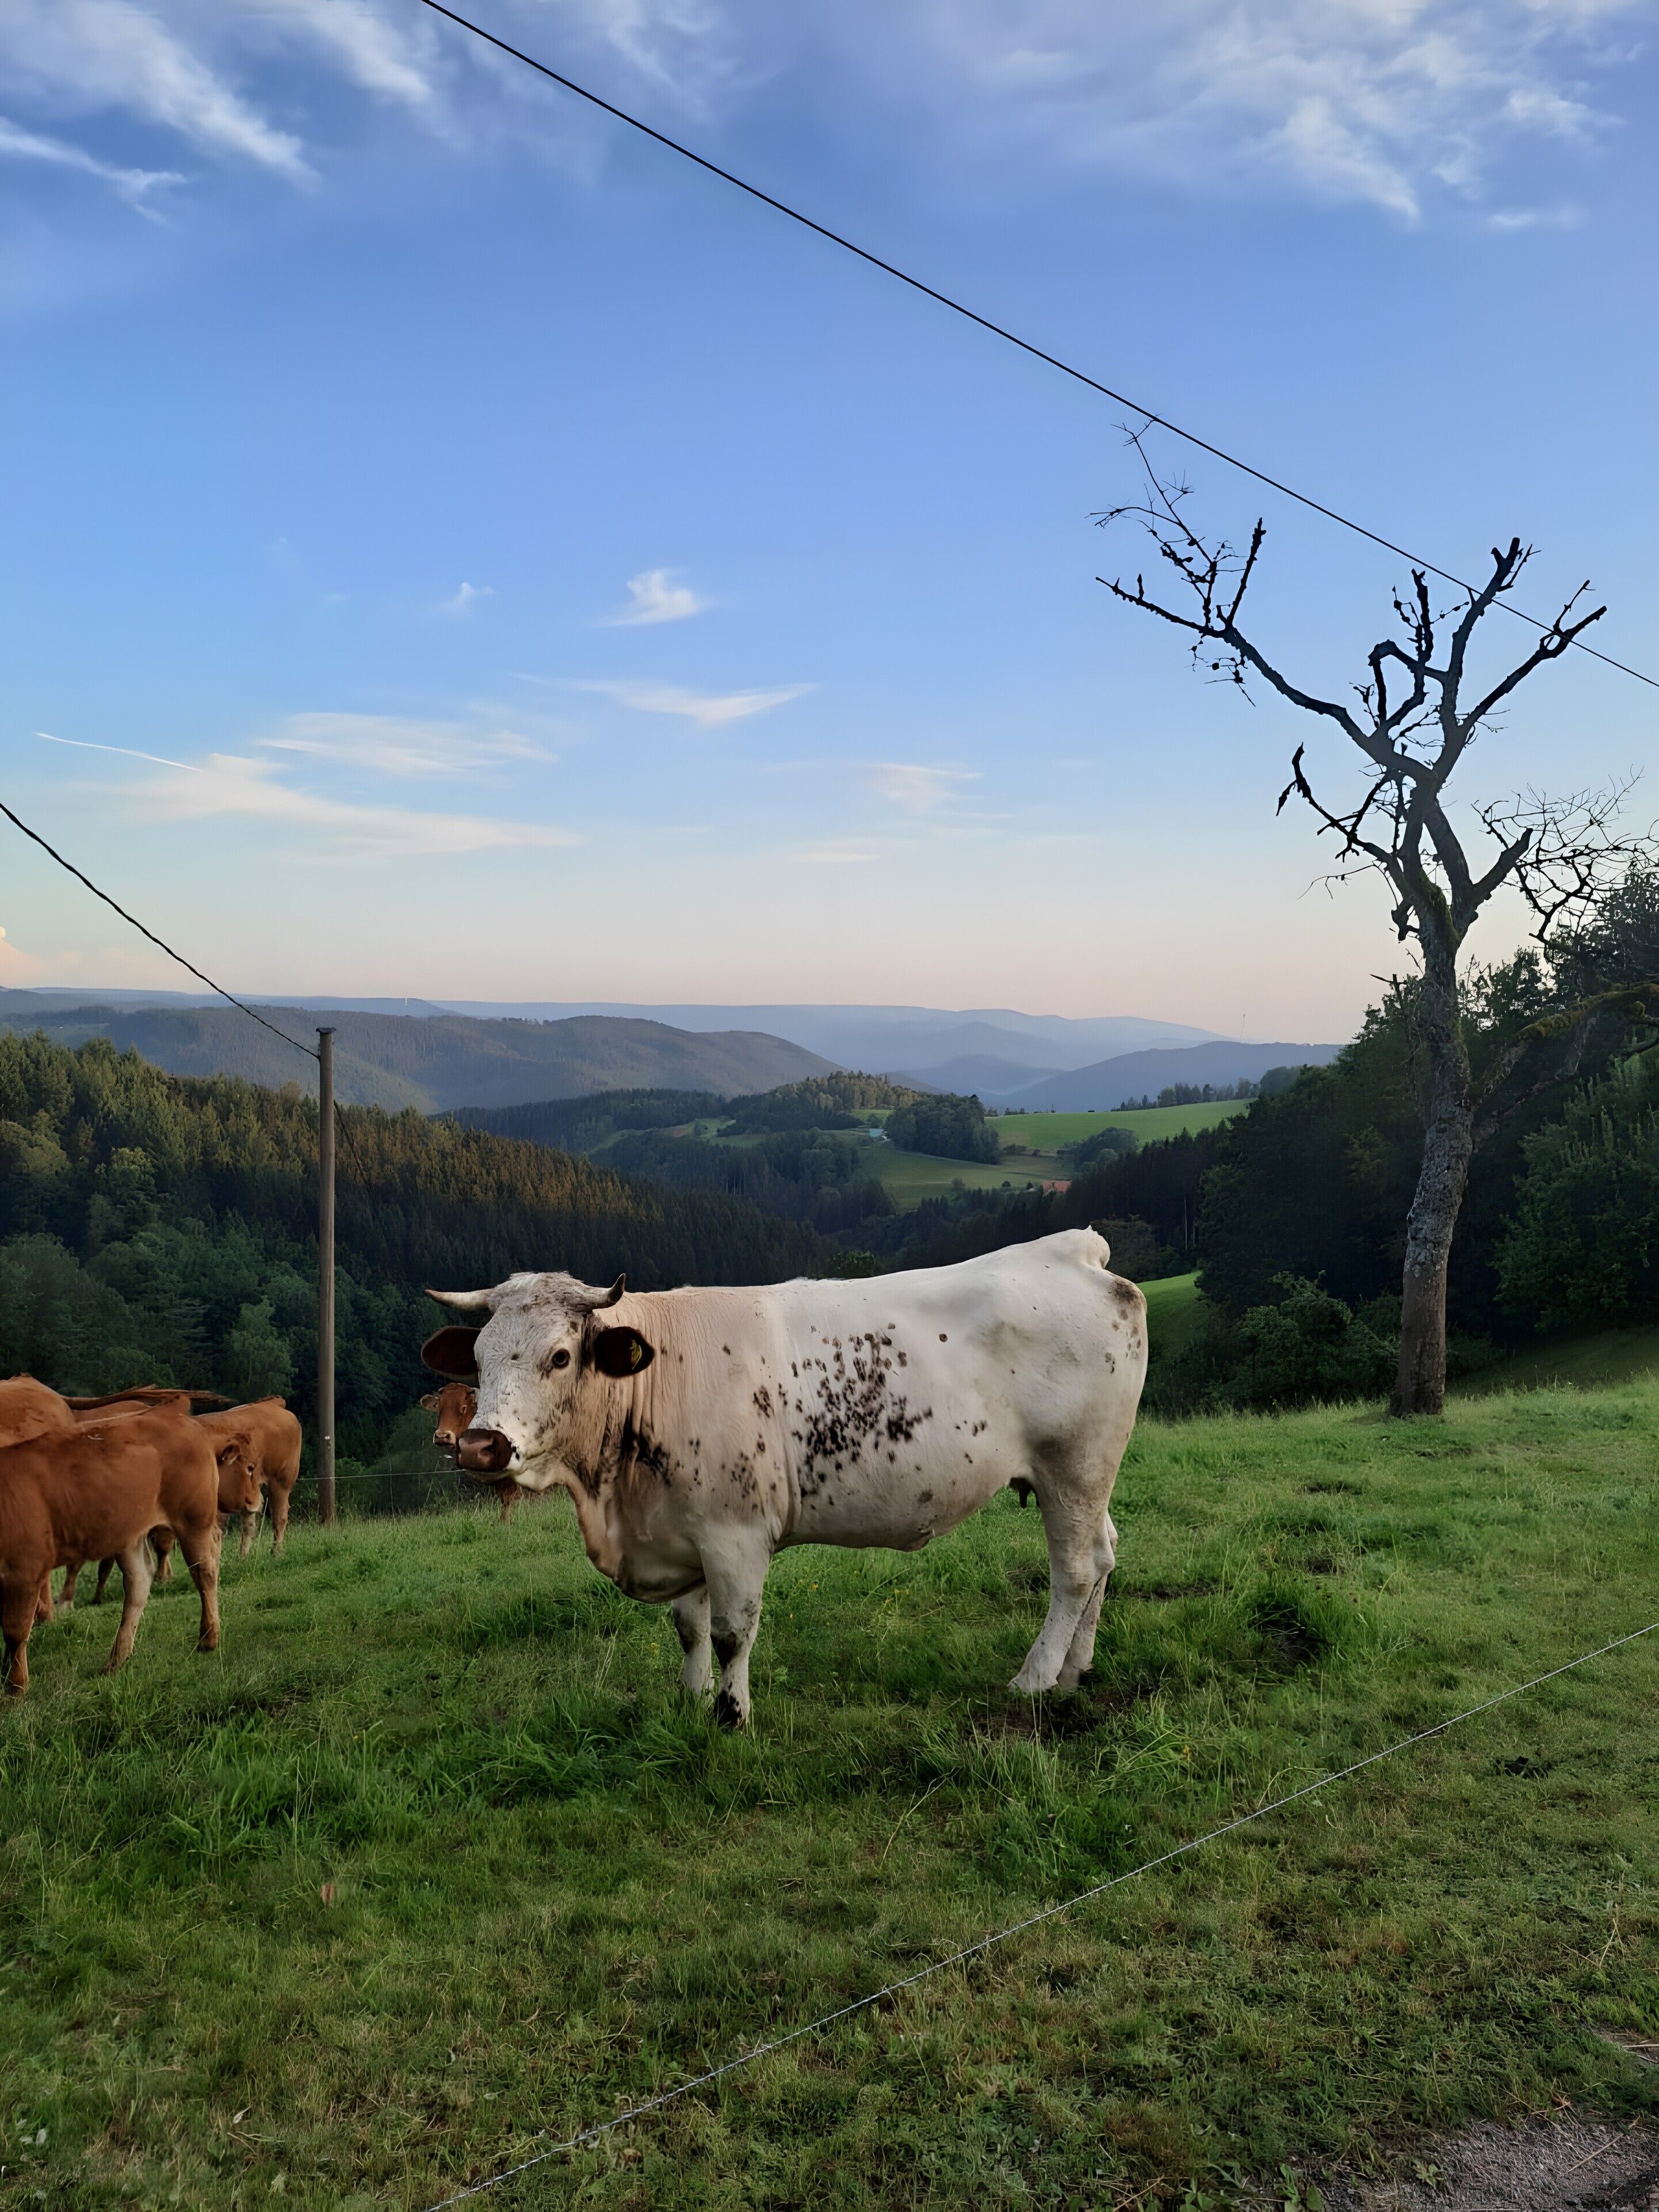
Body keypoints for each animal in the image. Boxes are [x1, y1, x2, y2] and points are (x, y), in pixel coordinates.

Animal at [1, 1407, 259, 1693]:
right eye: (249, 1469)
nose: (257, 1501)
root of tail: (187, 1422)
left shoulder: (24, 1568)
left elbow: (15, 1631)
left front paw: (15, 1687)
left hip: (193, 1519)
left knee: (204, 1571)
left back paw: (208, 1637)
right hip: (130, 1534)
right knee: (139, 1582)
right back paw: (117, 1659)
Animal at [425, 1227, 1147, 1728]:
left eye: (560, 1356)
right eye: (479, 1358)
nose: (482, 1445)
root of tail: (1071, 1250)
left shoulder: (734, 1533)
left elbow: (730, 1632)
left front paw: (731, 1716)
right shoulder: (682, 1525)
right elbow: (689, 1627)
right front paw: (690, 1702)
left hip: (1073, 1463)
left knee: (1075, 1570)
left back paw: (1036, 1677)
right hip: (1086, 1476)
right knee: (1106, 1553)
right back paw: (1076, 1669)